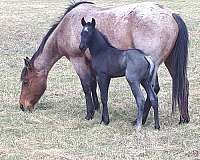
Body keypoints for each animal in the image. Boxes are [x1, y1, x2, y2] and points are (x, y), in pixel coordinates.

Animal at [19, 0, 190, 124]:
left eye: (25, 82)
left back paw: (141, 119)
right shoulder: (91, 63)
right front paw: (96, 108)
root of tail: (172, 15)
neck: (66, 27)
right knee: (183, 84)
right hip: (169, 62)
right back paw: (184, 118)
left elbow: (86, 86)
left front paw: (89, 113)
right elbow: (93, 85)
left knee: (153, 89)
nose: (22, 106)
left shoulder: (78, 60)